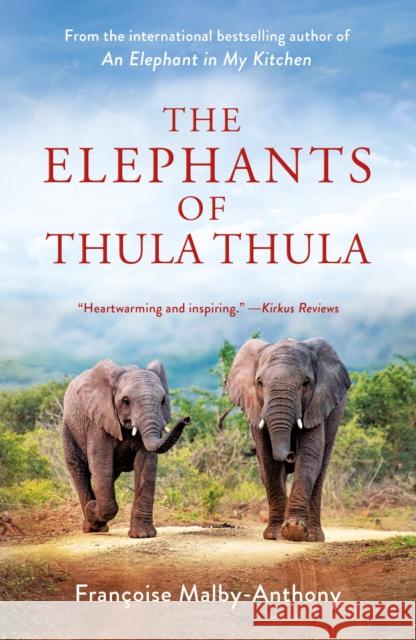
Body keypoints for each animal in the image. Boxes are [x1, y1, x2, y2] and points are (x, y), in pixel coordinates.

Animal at [63, 359, 190, 538]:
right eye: (125, 401)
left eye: (163, 400)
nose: (187, 419)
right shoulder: (97, 422)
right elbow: (101, 466)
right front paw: (91, 508)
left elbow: (146, 466)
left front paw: (143, 536)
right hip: (69, 430)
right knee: (80, 471)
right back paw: (92, 527)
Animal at [226, 338, 350, 542]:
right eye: (260, 382)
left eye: (306, 383)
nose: (290, 454)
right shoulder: (256, 409)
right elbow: (268, 461)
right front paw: (275, 534)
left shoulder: (316, 406)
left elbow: (308, 458)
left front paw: (294, 530)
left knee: (320, 471)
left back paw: (314, 537)